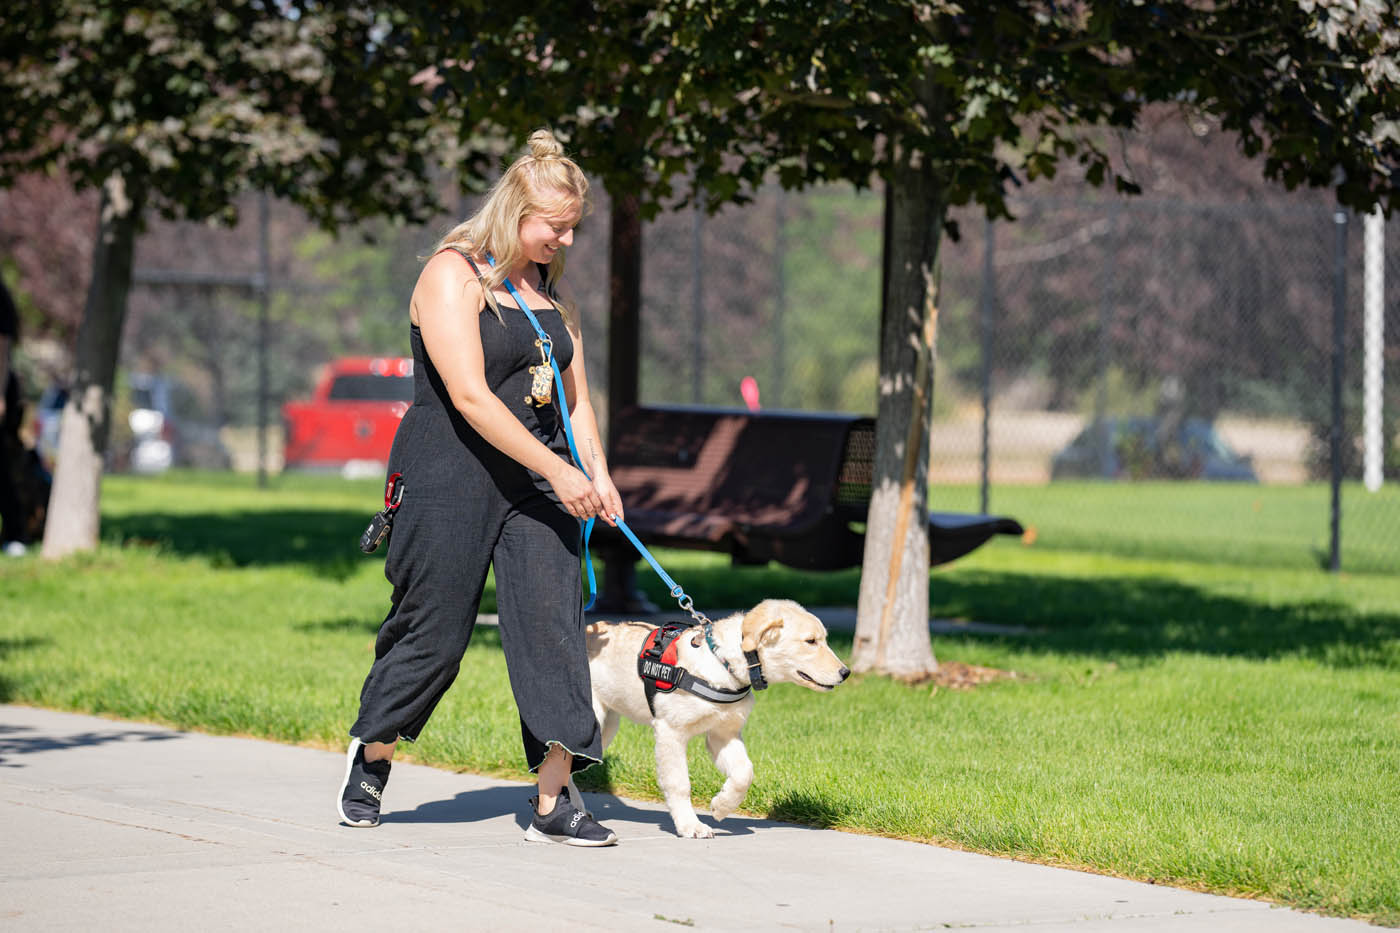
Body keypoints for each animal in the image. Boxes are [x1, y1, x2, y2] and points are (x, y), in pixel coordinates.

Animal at [565, 599, 845, 840]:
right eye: (811, 641)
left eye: (823, 639)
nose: (845, 672)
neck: (722, 664)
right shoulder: (670, 732)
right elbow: (679, 783)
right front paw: (690, 825)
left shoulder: (723, 734)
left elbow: (744, 772)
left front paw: (722, 805)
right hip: (594, 720)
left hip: (607, 726)